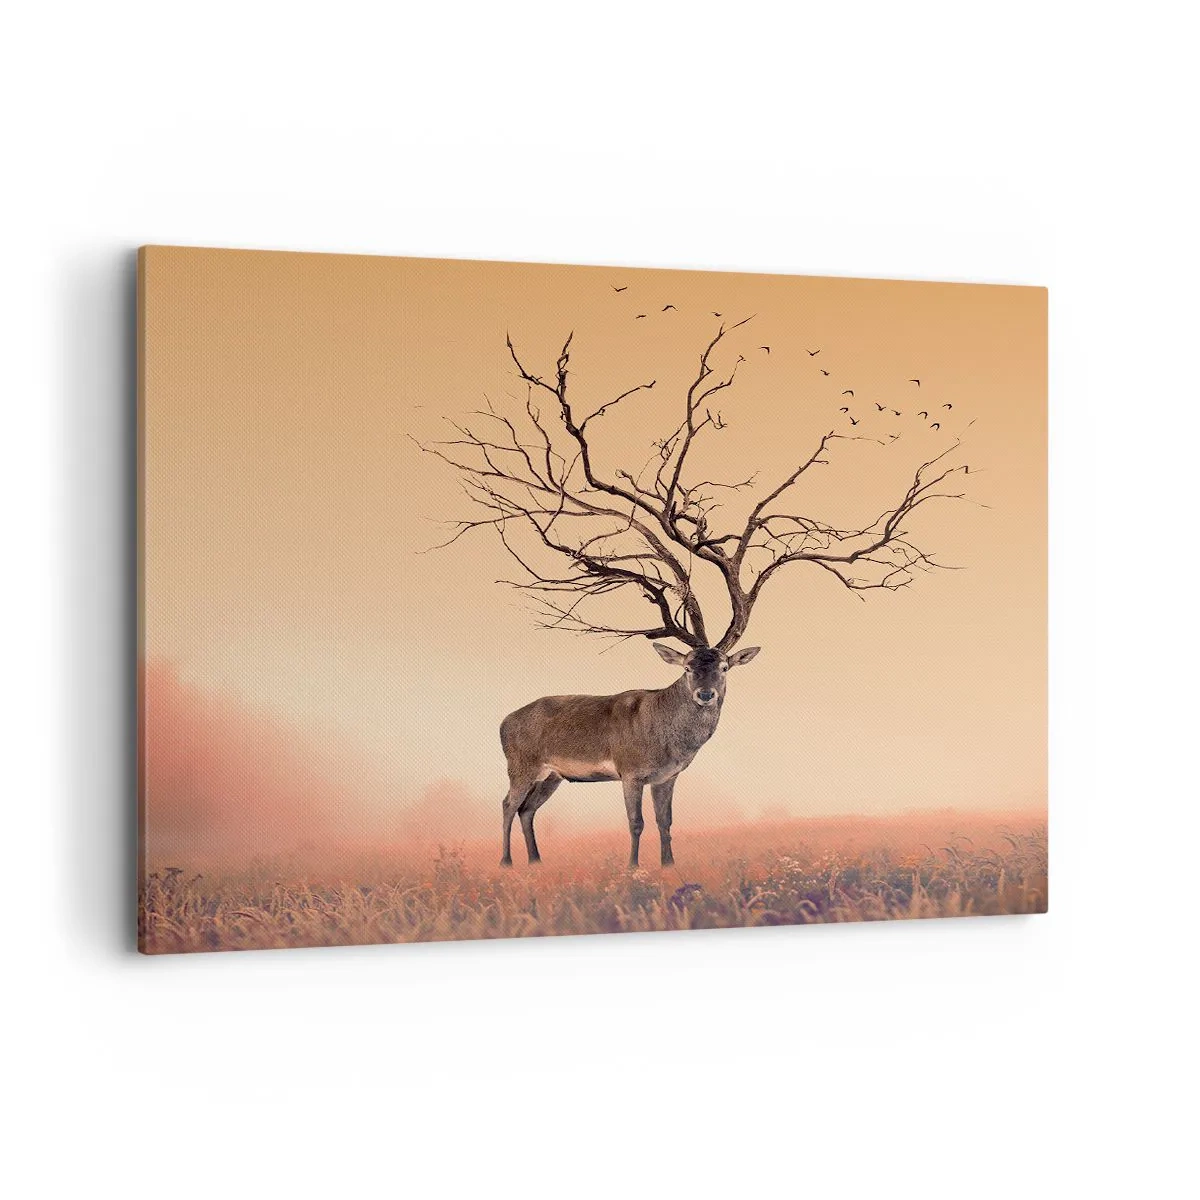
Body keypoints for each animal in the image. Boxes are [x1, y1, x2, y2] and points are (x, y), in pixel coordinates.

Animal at [500, 642, 760, 868]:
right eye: (687, 667)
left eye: (724, 667)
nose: (705, 695)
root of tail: (503, 723)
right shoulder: (630, 771)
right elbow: (636, 822)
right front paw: (633, 866)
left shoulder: (667, 777)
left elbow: (665, 821)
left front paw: (668, 864)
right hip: (520, 766)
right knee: (508, 804)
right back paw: (506, 862)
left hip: (551, 776)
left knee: (527, 809)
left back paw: (535, 861)